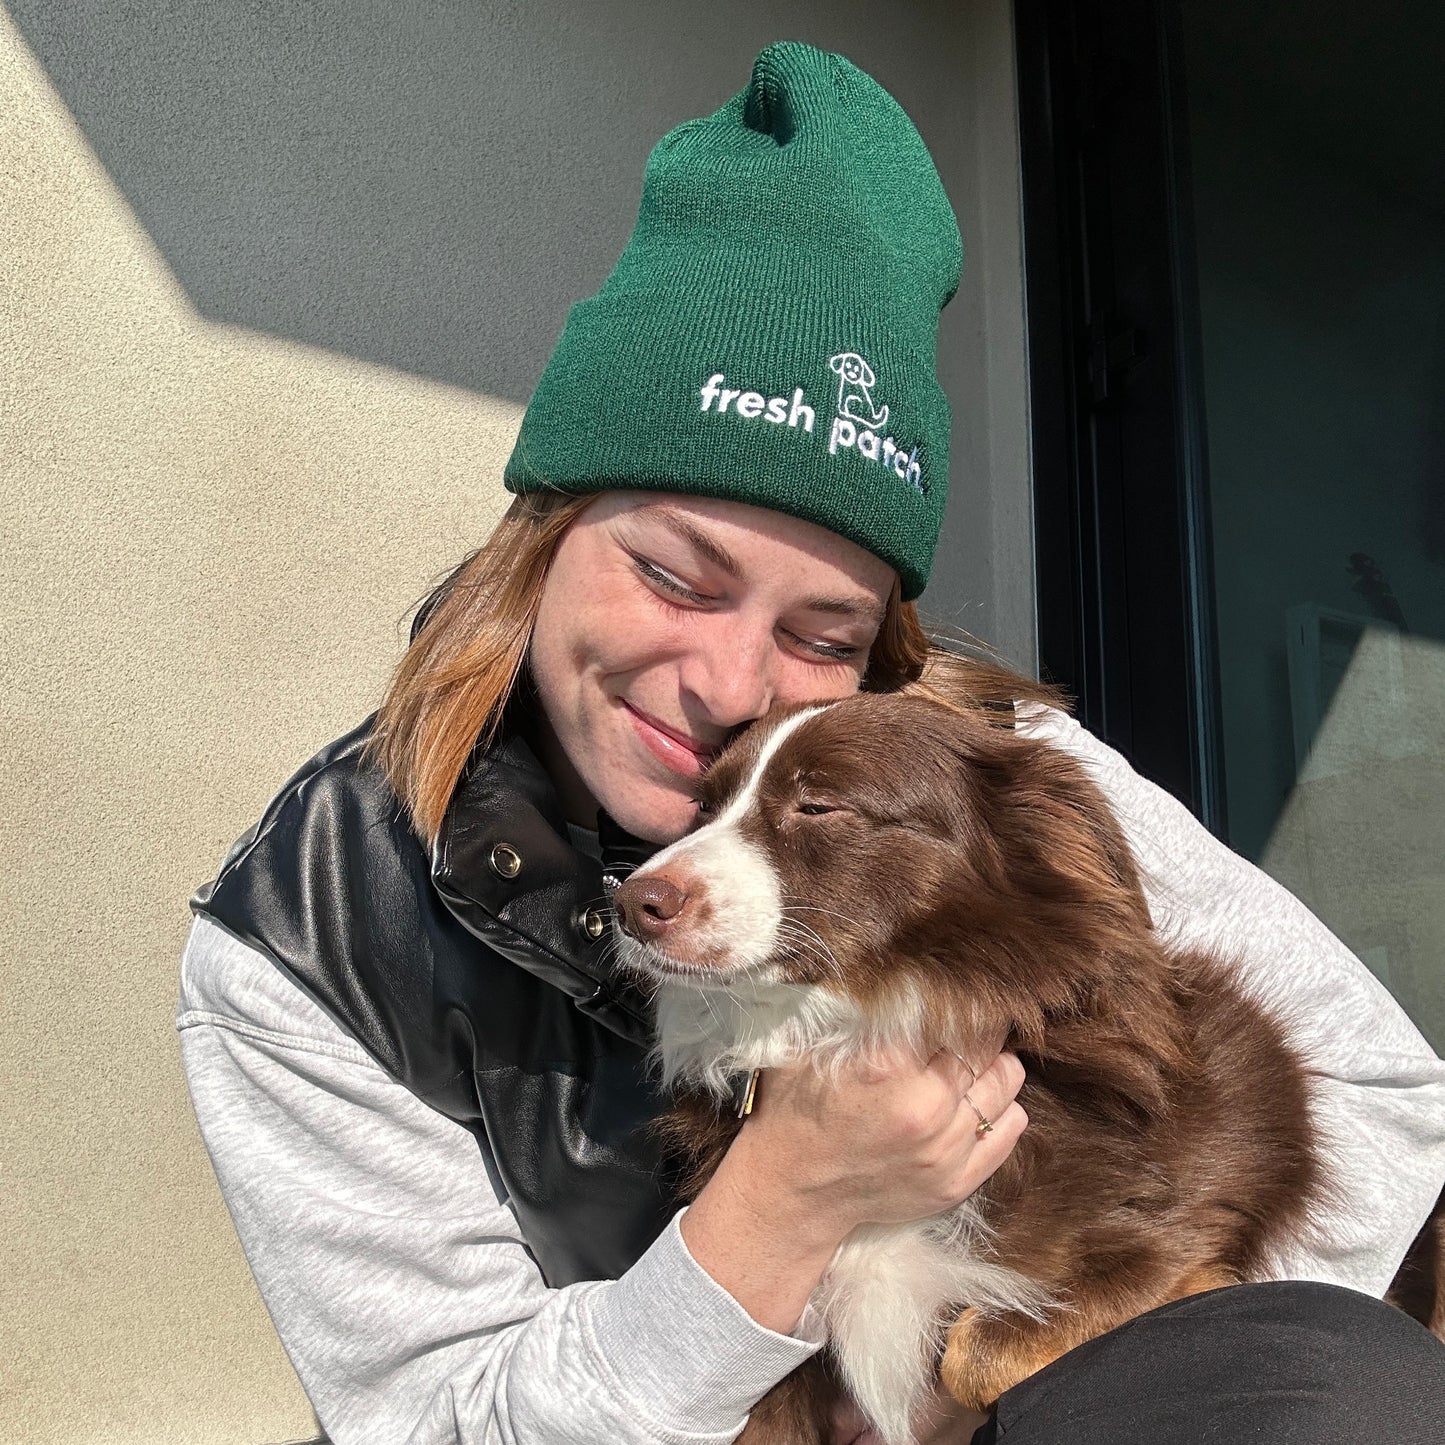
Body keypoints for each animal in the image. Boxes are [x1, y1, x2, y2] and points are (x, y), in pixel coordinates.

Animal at [606, 664, 1323, 1445]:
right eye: (703, 807)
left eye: (818, 804)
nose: (630, 905)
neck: (849, 1021)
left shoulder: (1198, 1193)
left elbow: (978, 1348)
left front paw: (1208, 1283)